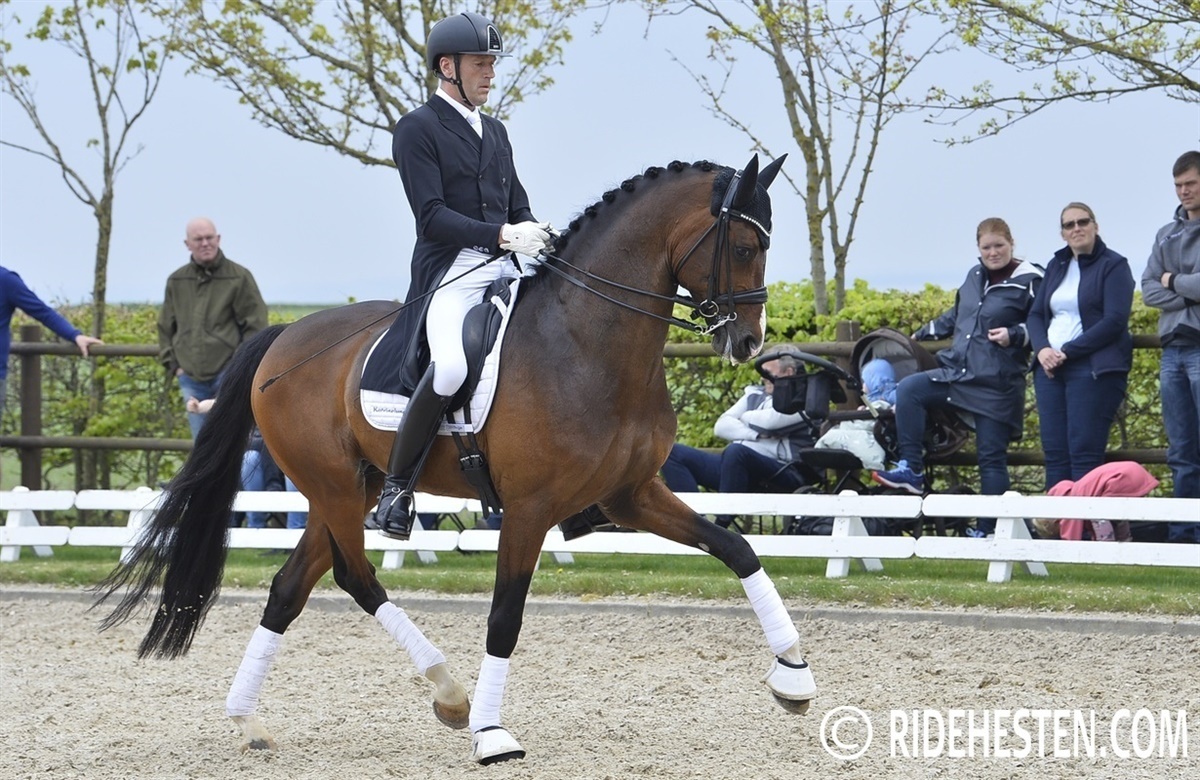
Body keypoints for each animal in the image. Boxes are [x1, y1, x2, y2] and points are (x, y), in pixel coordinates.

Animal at [94, 154, 818, 765]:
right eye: (745, 247)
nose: (748, 343)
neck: (588, 342)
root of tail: (283, 337)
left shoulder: (631, 495)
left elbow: (737, 548)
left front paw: (794, 676)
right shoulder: (528, 510)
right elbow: (505, 615)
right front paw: (492, 735)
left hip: (348, 489)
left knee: (290, 587)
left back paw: (250, 720)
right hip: (334, 487)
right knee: (356, 577)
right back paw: (449, 693)